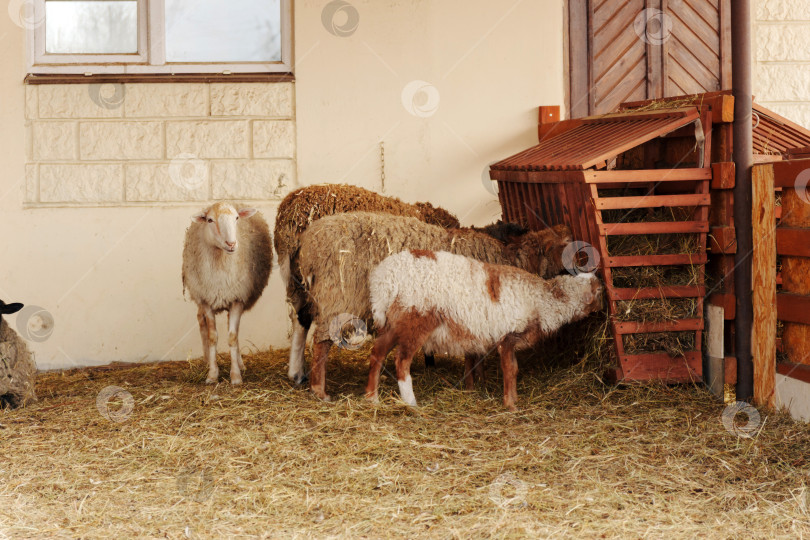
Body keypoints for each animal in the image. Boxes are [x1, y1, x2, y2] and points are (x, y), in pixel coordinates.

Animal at [182, 202, 272, 385]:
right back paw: (207, 361)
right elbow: (212, 337)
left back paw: (240, 364)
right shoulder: (206, 300)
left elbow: (232, 337)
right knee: (201, 321)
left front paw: (236, 376)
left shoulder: (237, 299)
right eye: (209, 220)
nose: (231, 244)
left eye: (236, 218)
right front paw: (212, 374)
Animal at [273, 184, 461, 383]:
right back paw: (300, 373)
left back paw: (296, 371)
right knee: (305, 318)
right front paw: (428, 360)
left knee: (298, 319)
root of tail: (290, 212)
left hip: (296, 280)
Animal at [296, 211, 573, 400]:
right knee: (321, 343)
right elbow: (472, 351)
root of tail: (309, 244)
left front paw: (478, 380)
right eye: (563, 245)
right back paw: (319, 390)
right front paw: (472, 384)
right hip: (337, 296)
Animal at [366, 250, 603, 410]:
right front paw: (510, 404)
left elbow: (512, 368)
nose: (604, 308)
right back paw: (411, 402)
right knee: (401, 361)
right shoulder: (507, 336)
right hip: (415, 320)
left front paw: (513, 399)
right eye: (599, 291)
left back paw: (372, 398)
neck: (542, 302)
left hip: (393, 322)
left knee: (377, 352)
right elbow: (510, 369)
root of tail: (384, 279)